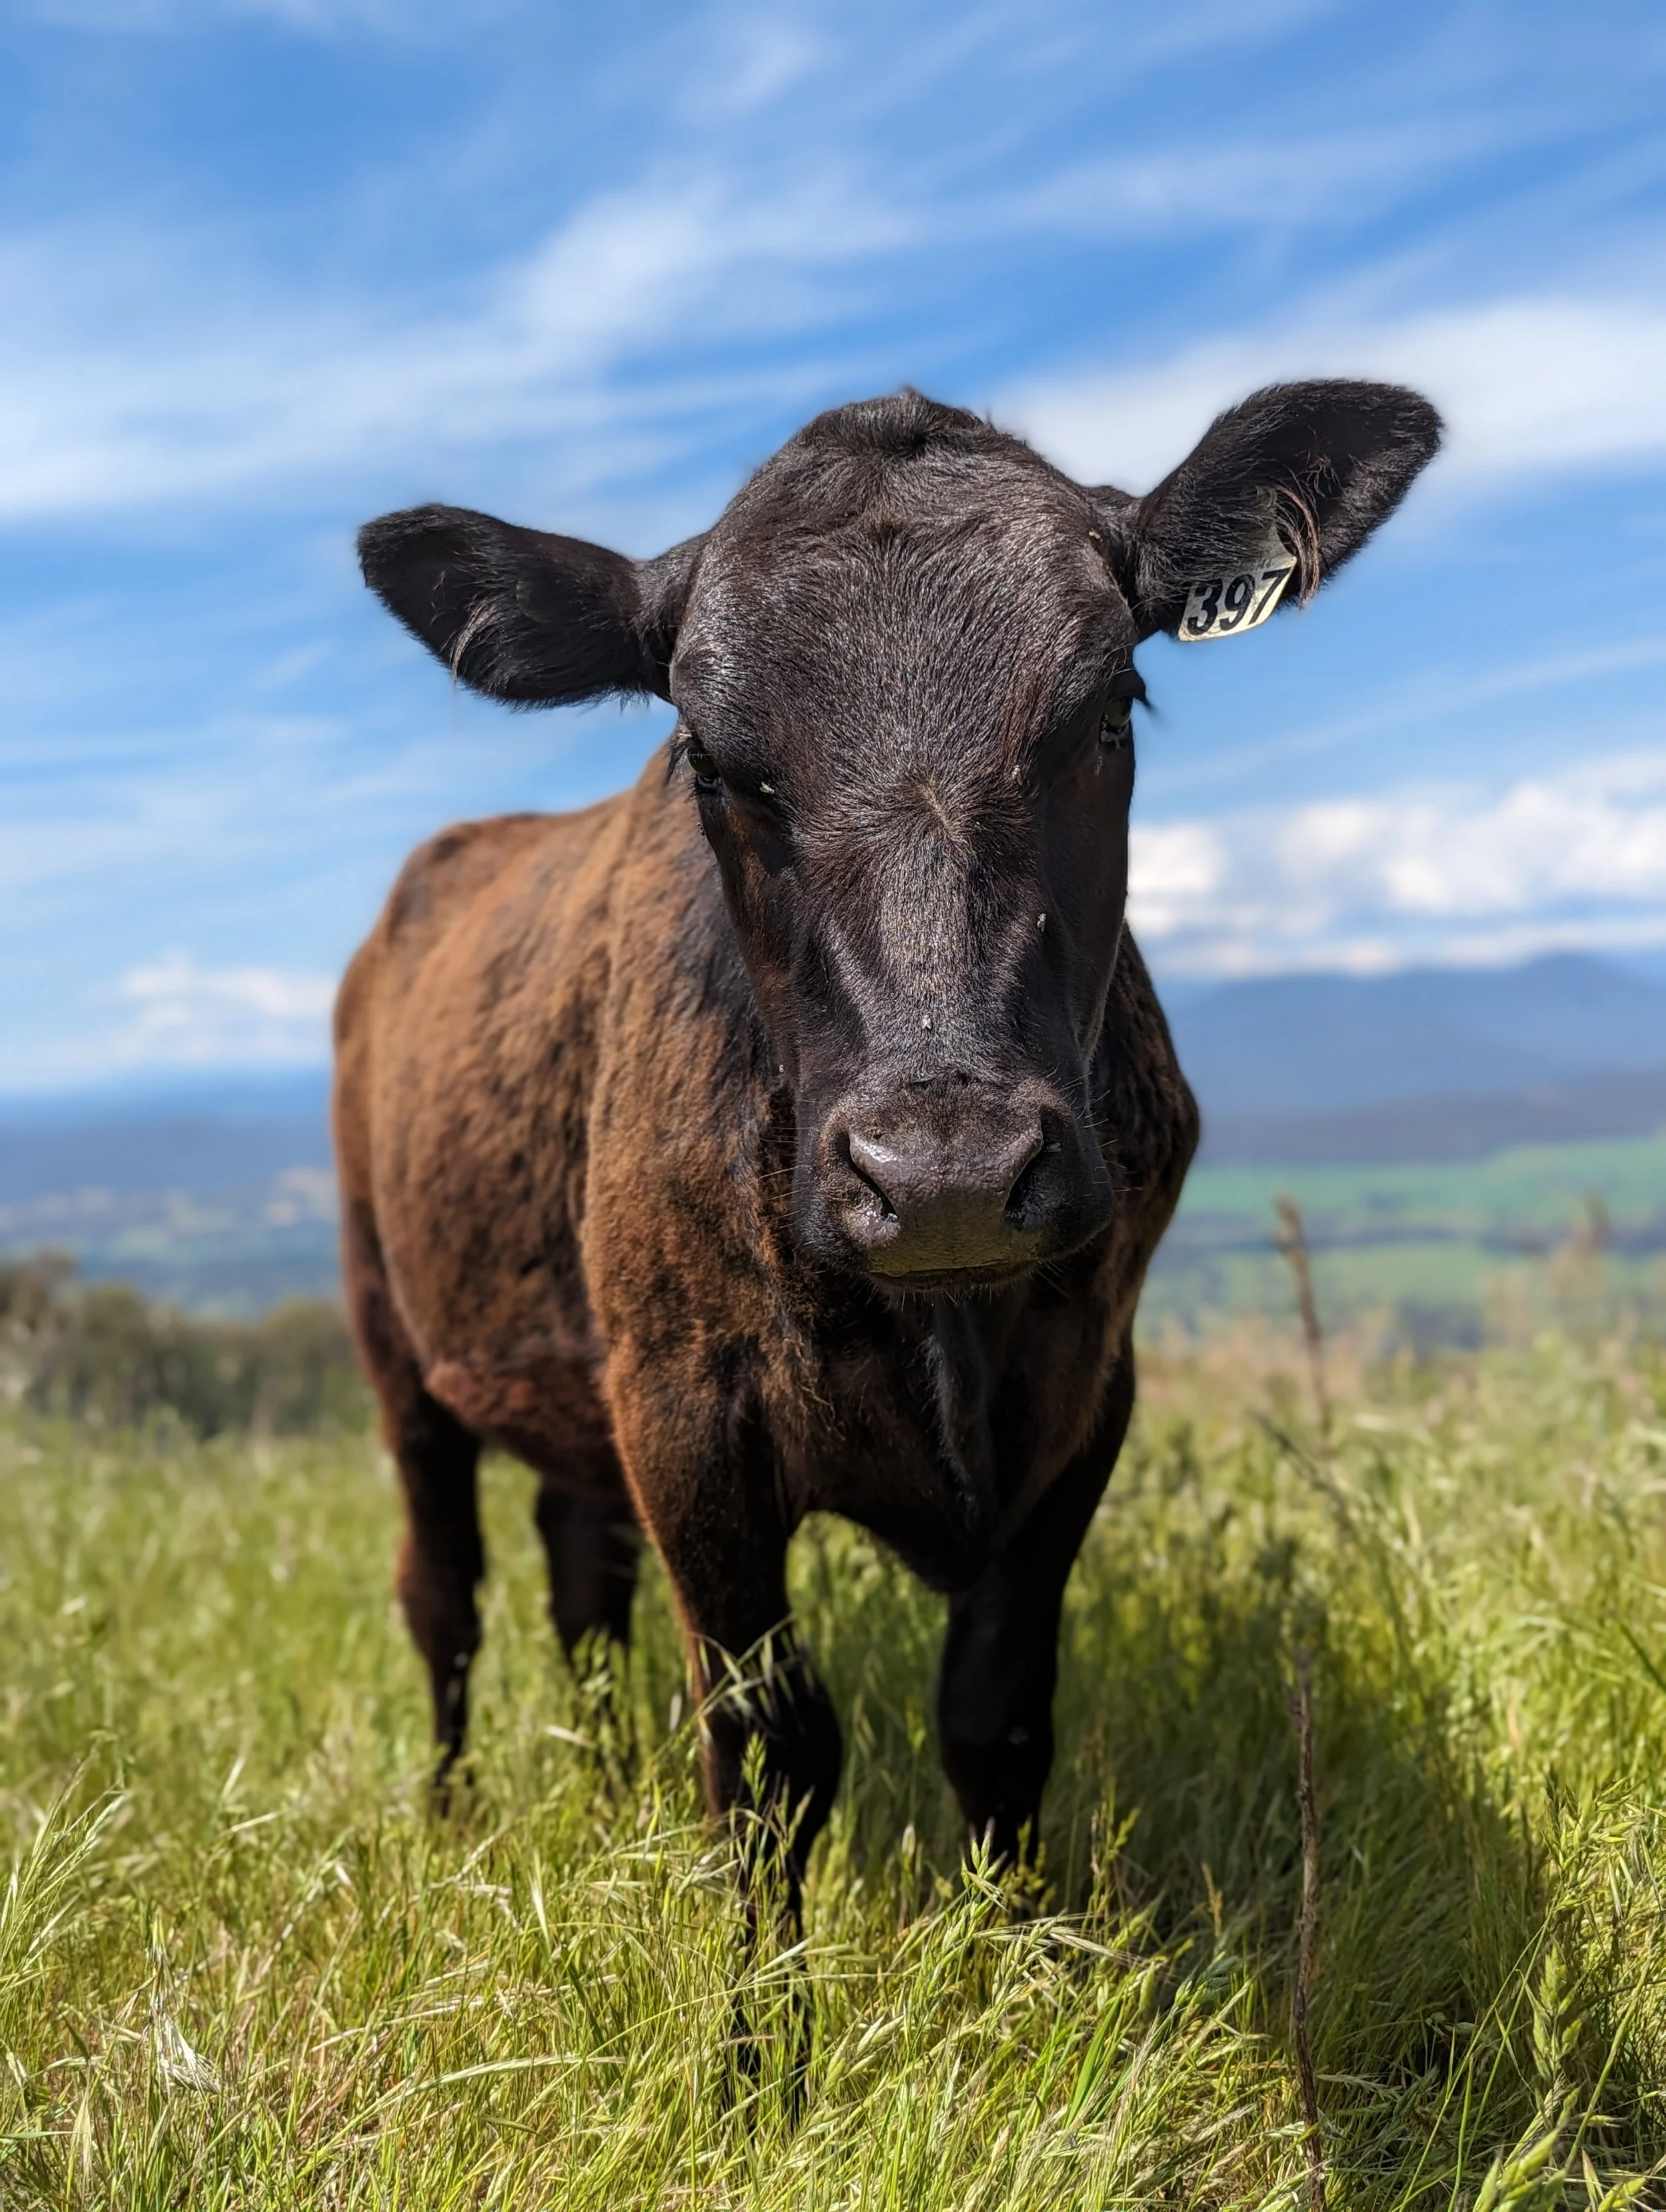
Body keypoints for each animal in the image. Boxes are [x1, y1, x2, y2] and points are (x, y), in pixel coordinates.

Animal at [337, 381, 1439, 1912]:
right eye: (710, 761)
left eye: (1111, 708)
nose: (947, 1178)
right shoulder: (685, 1405)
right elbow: (768, 1747)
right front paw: (764, 1991)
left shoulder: (1086, 1387)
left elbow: (997, 1715)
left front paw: (1018, 1950)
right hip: (395, 1339)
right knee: (441, 1595)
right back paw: (450, 1815)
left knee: (580, 1578)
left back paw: (603, 1783)